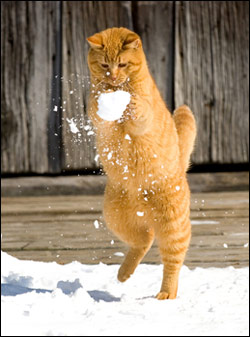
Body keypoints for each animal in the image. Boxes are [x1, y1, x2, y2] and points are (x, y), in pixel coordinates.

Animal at [87, 26, 196, 300]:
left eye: (122, 64)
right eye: (105, 65)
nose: (113, 77)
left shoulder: (144, 119)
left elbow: (140, 112)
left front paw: (132, 103)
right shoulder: (99, 121)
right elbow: (97, 108)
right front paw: (104, 99)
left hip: (173, 225)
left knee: (172, 262)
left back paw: (166, 294)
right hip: (115, 216)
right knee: (143, 240)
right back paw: (124, 273)